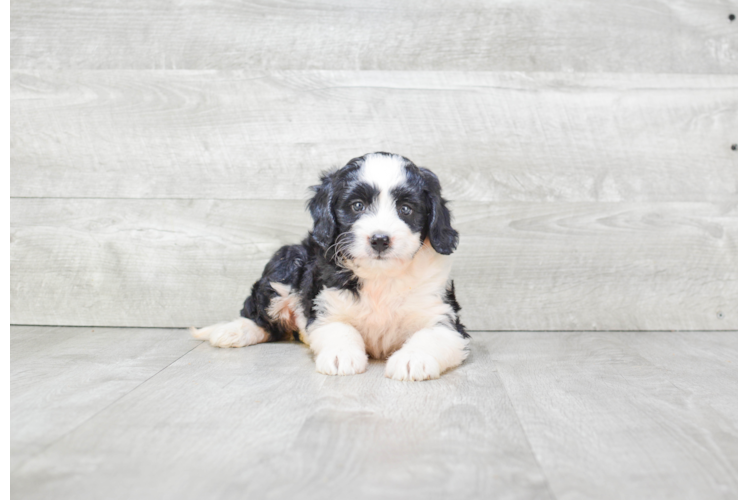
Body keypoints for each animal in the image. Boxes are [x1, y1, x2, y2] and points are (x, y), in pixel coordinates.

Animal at [193, 150, 468, 380]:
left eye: (406, 209)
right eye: (357, 206)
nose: (380, 239)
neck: (380, 276)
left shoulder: (443, 316)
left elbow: (432, 335)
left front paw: (413, 359)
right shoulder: (326, 307)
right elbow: (341, 329)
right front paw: (341, 356)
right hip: (286, 262)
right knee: (261, 318)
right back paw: (233, 331)